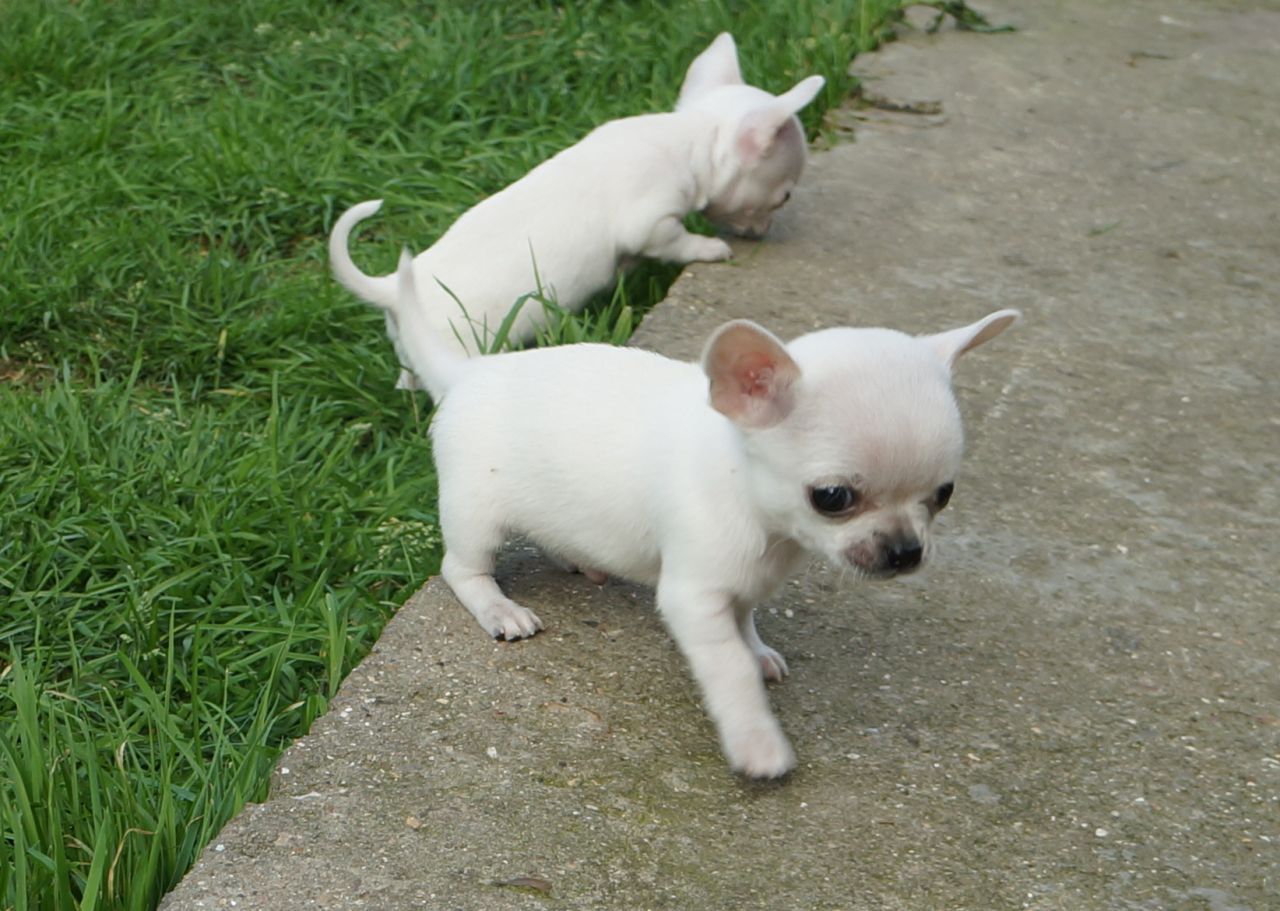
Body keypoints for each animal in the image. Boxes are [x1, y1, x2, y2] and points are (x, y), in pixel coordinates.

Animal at [330, 31, 824, 386]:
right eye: (783, 196)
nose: (762, 232)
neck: (686, 135)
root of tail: (391, 288)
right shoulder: (652, 222)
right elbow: (678, 240)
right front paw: (711, 248)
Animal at [373, 246, 1013, 777]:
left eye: (944, 494)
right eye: (832, 497)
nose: (906, 551)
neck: (756, 510)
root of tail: (468, 373)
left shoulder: (746, 584)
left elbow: (746, 626)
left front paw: (757, 651)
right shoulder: (695, 598)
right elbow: (728, 668)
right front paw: (757, 742)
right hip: (476, 515)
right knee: (462, 568)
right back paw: (498, 607)